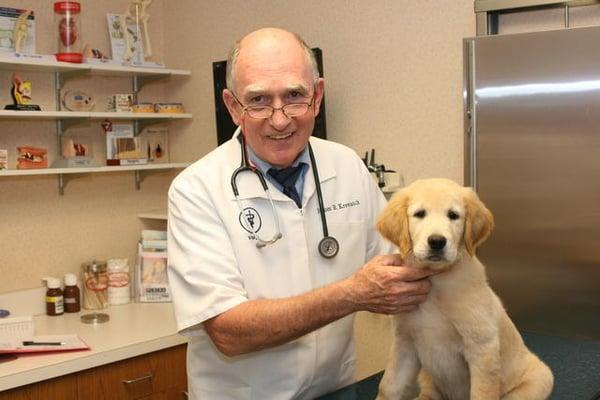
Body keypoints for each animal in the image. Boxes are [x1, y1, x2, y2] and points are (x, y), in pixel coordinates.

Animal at [376, 179, 552, 400]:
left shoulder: (482, 347)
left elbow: (482, 393)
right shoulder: (405, 343)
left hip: (538, 379)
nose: (437, 241)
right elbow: (389, 386)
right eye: (419, 214)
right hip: (427, 379)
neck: (436, 279)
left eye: (453, 215)